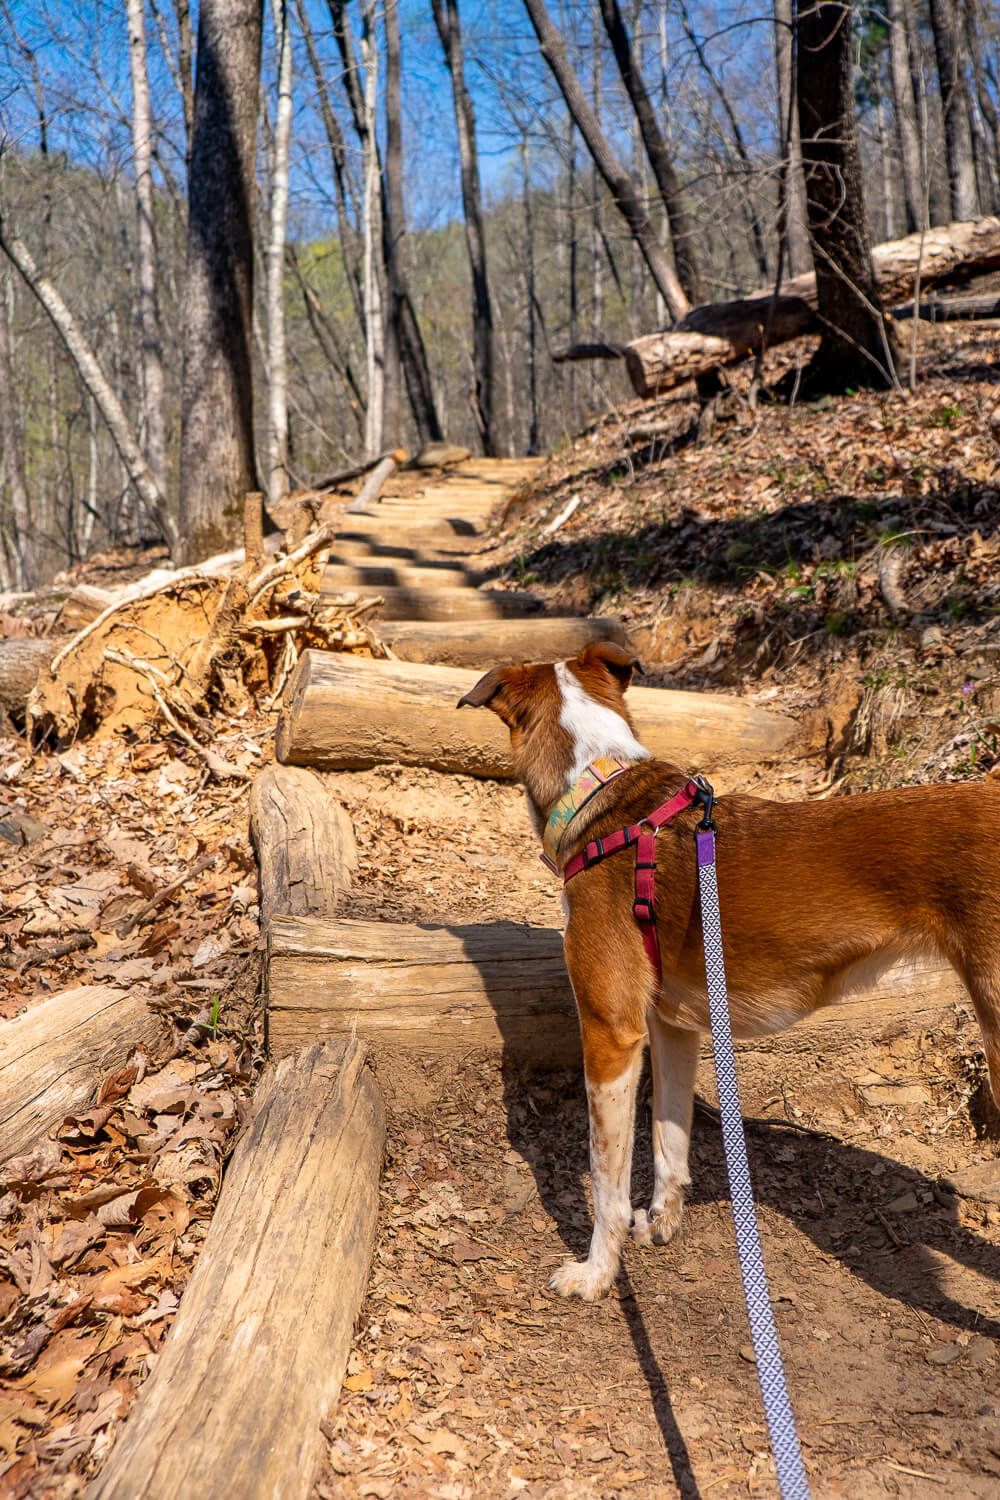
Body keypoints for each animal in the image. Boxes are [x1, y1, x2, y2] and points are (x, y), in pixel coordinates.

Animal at [458, 642, 1000, 1302]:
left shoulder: (611, 1034)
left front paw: (597, 1272)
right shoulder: (673, 1027)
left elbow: (606, 1181)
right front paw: (661, 1223)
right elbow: (669, 1140)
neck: (600, 788)